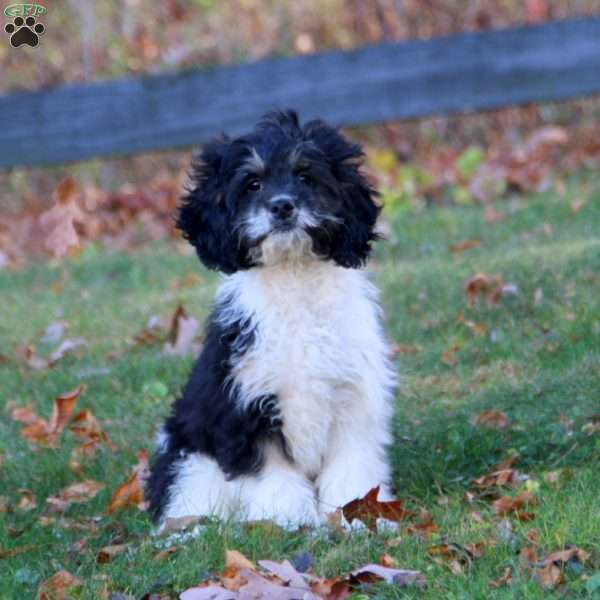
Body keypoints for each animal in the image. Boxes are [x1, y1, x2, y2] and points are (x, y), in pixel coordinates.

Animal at [147, 110, 396, 528]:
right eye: (253, 184)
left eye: (305, 176)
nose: (282, 206)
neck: (293, 278)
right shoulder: (244, 406)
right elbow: (273, 471)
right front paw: (287, 518)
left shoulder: (352, 399)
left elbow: (352, 466)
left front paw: (356, 513)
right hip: (189, 459)